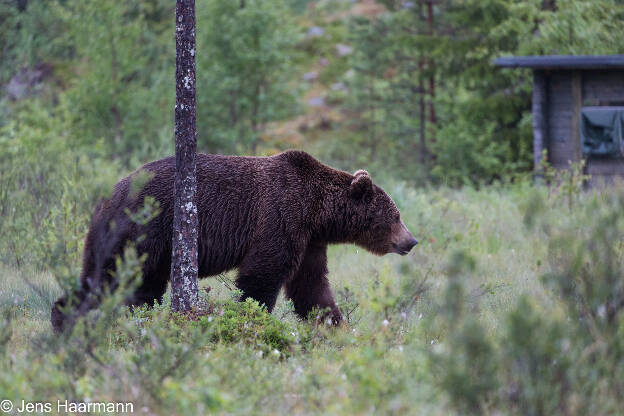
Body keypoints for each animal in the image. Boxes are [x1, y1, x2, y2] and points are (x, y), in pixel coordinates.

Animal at [50, 150, 420, 332]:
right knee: (111, 279)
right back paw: (65, 320)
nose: (412, 241)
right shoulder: (279, 217)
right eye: (395, 215)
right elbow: (262, 276)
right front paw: (250, 319)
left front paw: (336, 326)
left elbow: (311, 285)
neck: (318, 213)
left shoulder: (310, 241)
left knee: (131, 286)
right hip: (140, 230)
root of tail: (106, 197)